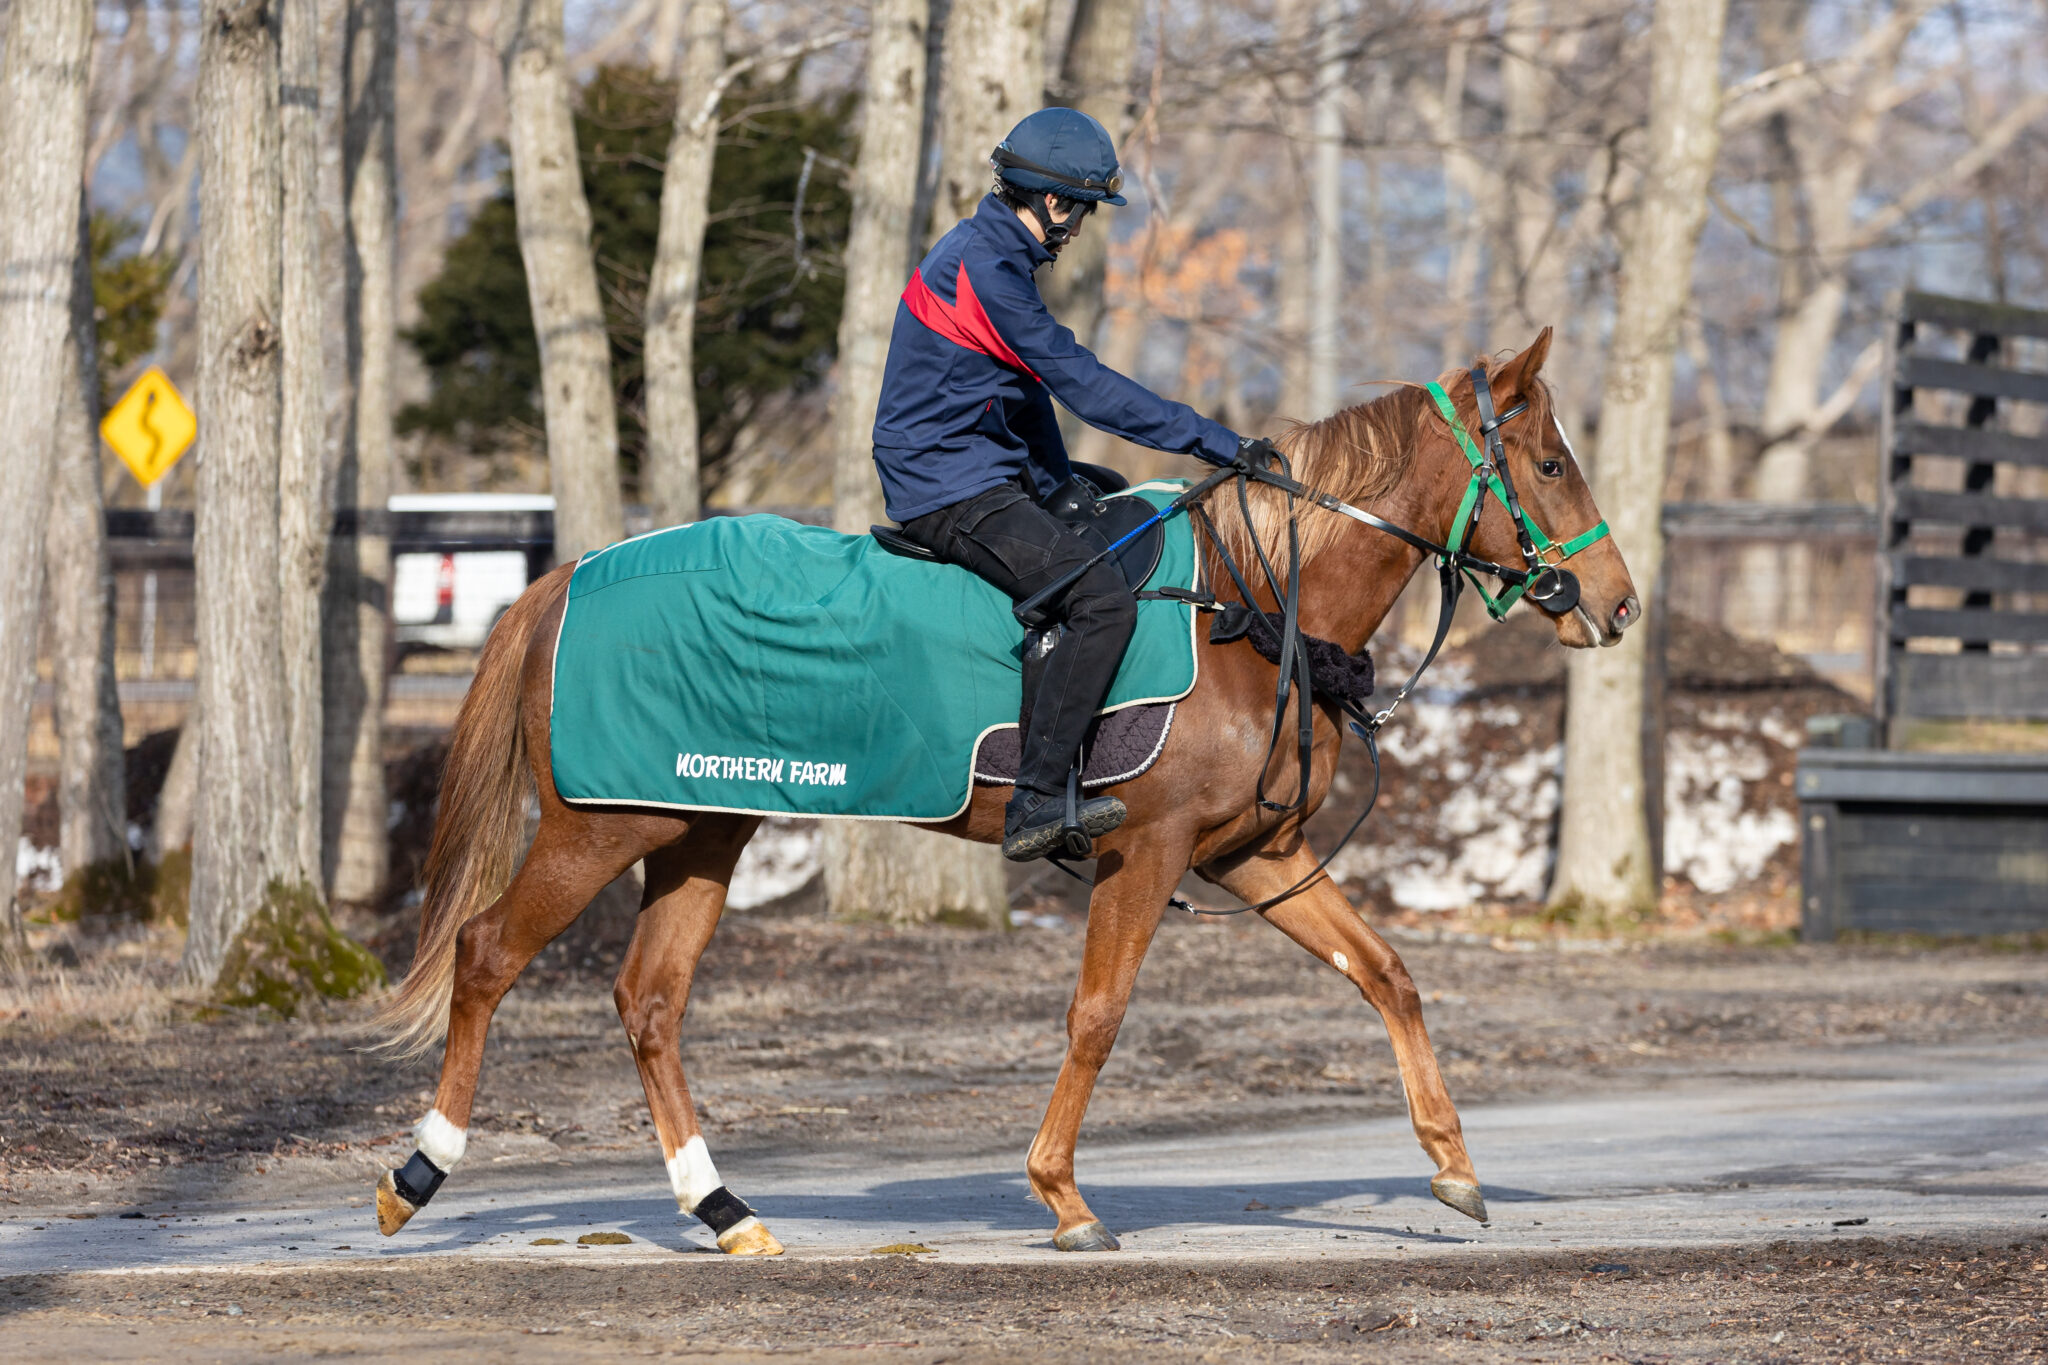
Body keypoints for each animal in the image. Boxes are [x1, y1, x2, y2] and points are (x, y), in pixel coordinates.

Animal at [372, 331, 1646, 1260]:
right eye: (1548, 464)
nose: (1616, 602)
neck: (1245, 600)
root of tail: (570, 578)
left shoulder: (1254, 857)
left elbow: (1386, 976)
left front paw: (1452, 1166)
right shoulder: (1150, 851)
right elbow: (1097, 1015)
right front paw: (1062, 1196)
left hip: (699, 826)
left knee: (648, 1002)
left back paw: (723, 1213)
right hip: (601, 827)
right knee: (486, 956)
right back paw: (420, 1172)